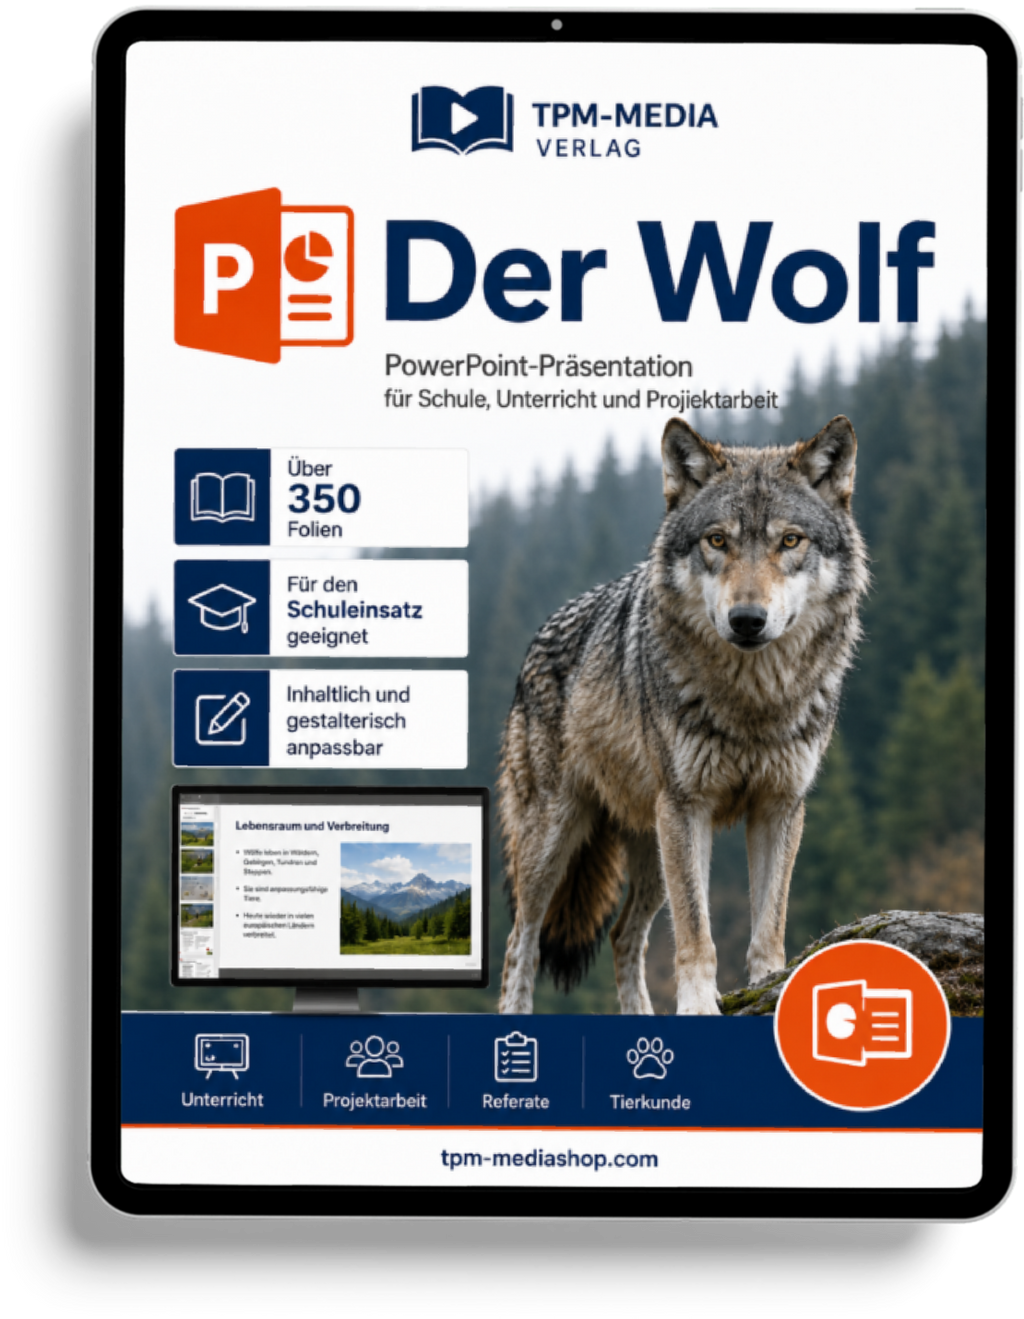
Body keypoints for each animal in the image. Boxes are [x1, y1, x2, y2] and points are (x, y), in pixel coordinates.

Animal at [498, 415, 868, 1015]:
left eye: (790, 540)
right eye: (717, 540)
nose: (747, 620)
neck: (752, 702)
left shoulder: (779, 805)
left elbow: (770, 920)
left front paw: (771, 982)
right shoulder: (687, 806)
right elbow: (697, 932)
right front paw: (698, 1005)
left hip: (650, 850)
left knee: (623, 934)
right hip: (555, 840)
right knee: (520, 940)